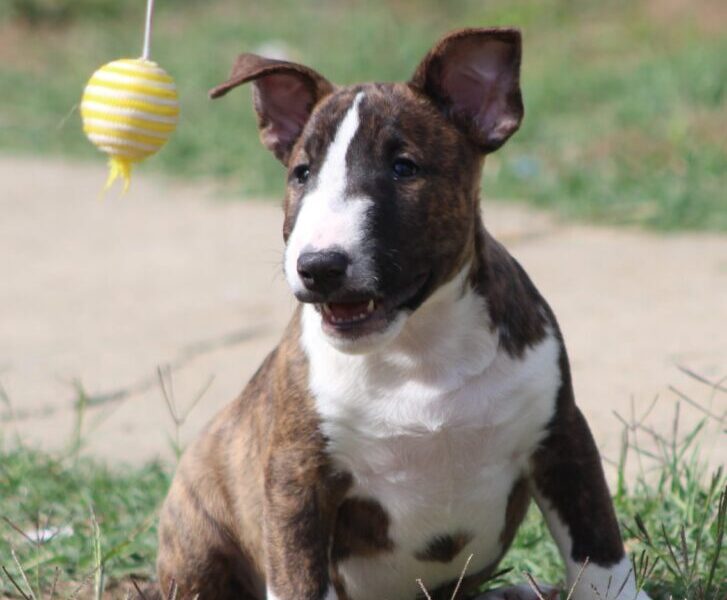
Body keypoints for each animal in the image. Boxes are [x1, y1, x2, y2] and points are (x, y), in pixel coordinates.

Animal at [158, 28, 648, 600]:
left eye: (404, 168)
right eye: (302, 174)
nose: (318, 266)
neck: (418, 349)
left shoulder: (562, 435)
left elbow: (599, 549)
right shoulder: (297, 475)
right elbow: (300, 575)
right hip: (198, 539)